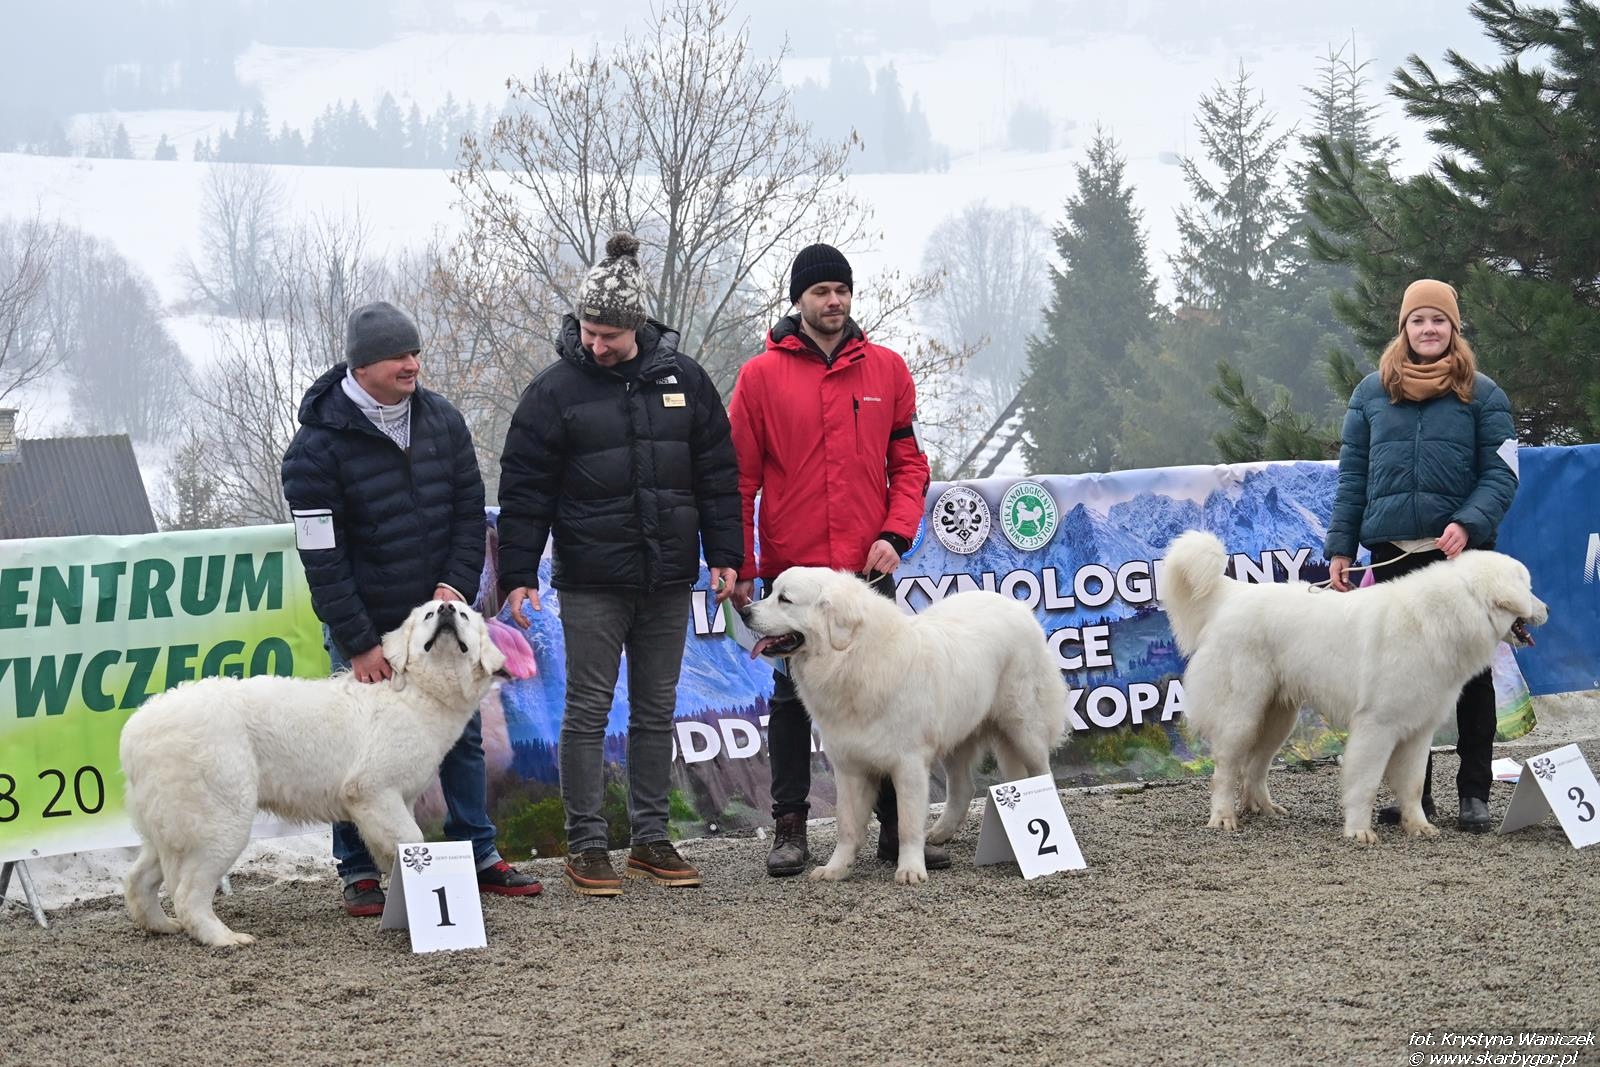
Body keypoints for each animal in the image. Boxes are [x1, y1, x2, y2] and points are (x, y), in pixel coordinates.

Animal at [120, 600, 506, 946]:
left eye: (463, 614)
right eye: (429, 614)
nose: (445, 608)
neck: (417, 691)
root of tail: (136, 728)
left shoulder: (400, 797)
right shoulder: (373, 791)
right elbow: (411, 836)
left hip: (170, 827)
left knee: (138, 879)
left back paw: (162, 925)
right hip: (221, 821)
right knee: (187, 894)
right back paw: (225, 938)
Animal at [741, 568, 1068, 883]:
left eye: (785, 599)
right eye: (770, 592)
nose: (744, 611)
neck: (854, 659)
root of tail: (1018, 606)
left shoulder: (908, 765)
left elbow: (907, 822)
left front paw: (910, 868)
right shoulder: (848, 767)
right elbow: (847, 825)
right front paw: (836, 869)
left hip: (1022, 726)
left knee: (1042, 771)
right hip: (958, 734)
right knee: (963, 788)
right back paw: (939, 834)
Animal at [1162, 531, 1546, 844]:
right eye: (1528, 587)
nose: (1547, 609)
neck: (1440, 618)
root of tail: (1234, 593)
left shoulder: (1419, 730)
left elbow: (1413, 783)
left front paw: (1418, 825)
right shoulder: (1377, 726)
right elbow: (1366, 782)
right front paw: (1359, 830)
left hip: (1277, 718)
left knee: (1256, 766)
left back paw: (1265, 809)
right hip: (1242, 715)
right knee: (1226, 770)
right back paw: (1223, 818)